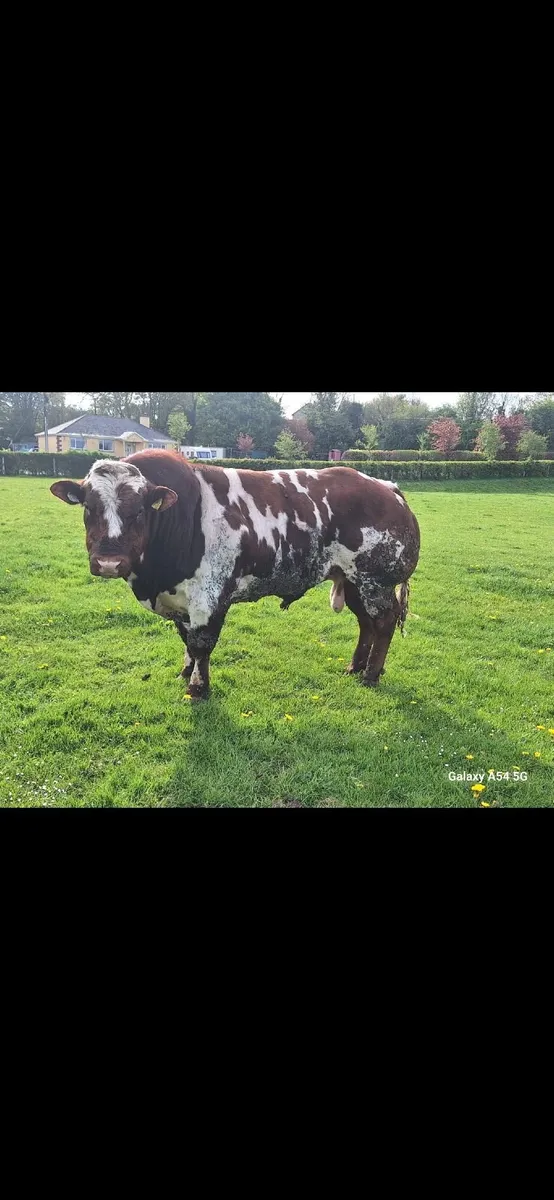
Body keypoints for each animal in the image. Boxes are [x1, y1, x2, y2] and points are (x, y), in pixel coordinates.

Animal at [50, 451, 420, 698]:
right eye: (88, 507)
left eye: (139, 510)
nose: (109, 562)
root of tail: (386, 486)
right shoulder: (181, 601)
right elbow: (186, 640)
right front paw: (186, 672)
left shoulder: (209, 597)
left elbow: (201, 644)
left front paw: (199, 687)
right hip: (354, 581)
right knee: (366, 624)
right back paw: (355, 667)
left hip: (375, 581)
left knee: (383, 623)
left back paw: (371, 674)